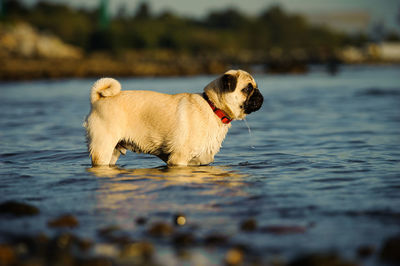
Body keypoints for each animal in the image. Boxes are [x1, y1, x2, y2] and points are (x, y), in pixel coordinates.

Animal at [84, 70, 262, 166]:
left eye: (255, 88)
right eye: (248, 89)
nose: (260, 96)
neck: (213, 107)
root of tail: (97, 99)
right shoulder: (179, 159)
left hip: (113, 153)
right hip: (103, 149)